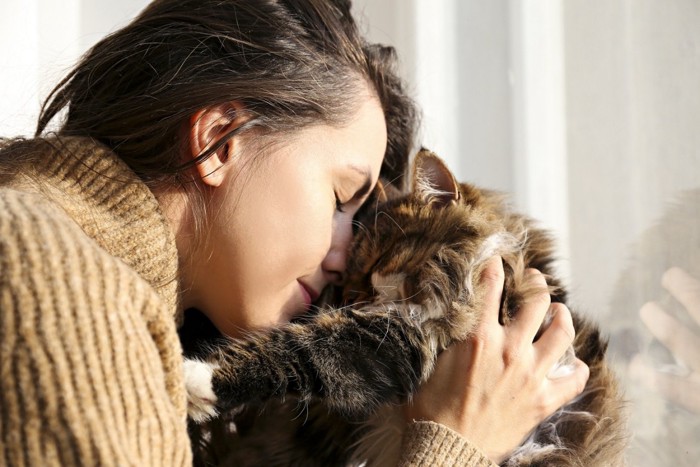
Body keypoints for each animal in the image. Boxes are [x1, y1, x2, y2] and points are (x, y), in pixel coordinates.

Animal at [183, 150, 628, 467]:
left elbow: (303, 350)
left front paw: (198, 377)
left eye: (377, 263)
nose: (352, 297)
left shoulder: (404, 336)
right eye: (343, 283)